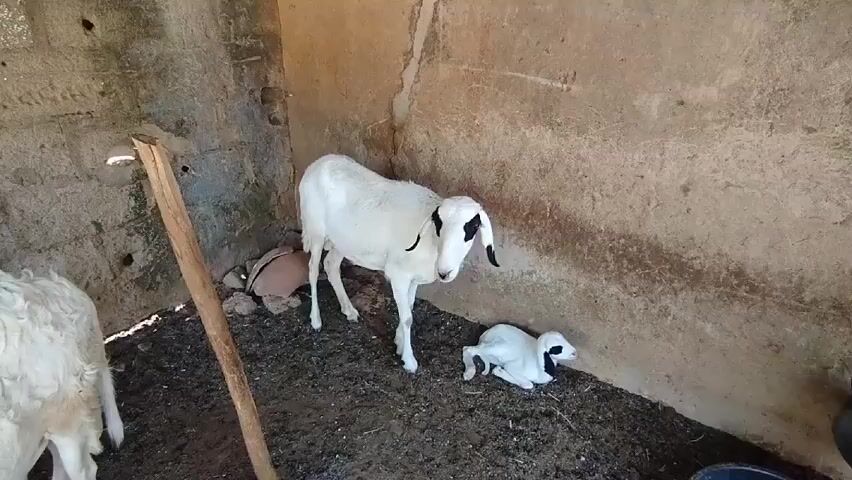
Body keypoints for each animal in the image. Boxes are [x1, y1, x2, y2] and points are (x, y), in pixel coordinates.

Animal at [298, 153, 500, 373]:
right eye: (438, 223)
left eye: (472, 226)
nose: (444, 272)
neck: (431, 244)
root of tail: (318, 163)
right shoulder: (398, 275)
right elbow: (407, 318)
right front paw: (409, 361)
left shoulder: (413, 279)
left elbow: (409, 308)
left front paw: (399, 342)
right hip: (316, 231)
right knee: (312, 270)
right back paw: (316, 320)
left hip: (342, 240)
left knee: (331, 264)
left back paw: (349, 310)